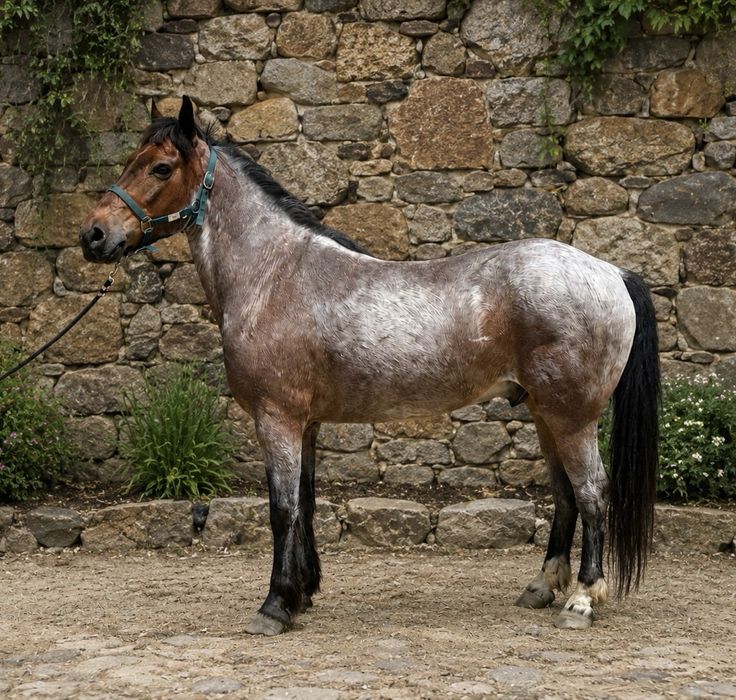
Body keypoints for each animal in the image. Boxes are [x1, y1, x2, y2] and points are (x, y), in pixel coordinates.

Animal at [80, 96, 660, 636]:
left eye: (160, 168)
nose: (93, 234)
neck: (273, 275)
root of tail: (611, 271)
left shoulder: (277, 419)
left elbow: (281, 511)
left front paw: (274, 606)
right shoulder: (305, 424)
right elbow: (307, 506)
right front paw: (302, 594)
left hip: (572, 416)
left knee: (591, 493)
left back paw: (582, 599)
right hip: (544, 413)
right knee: (564, 495)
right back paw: (541, 586)